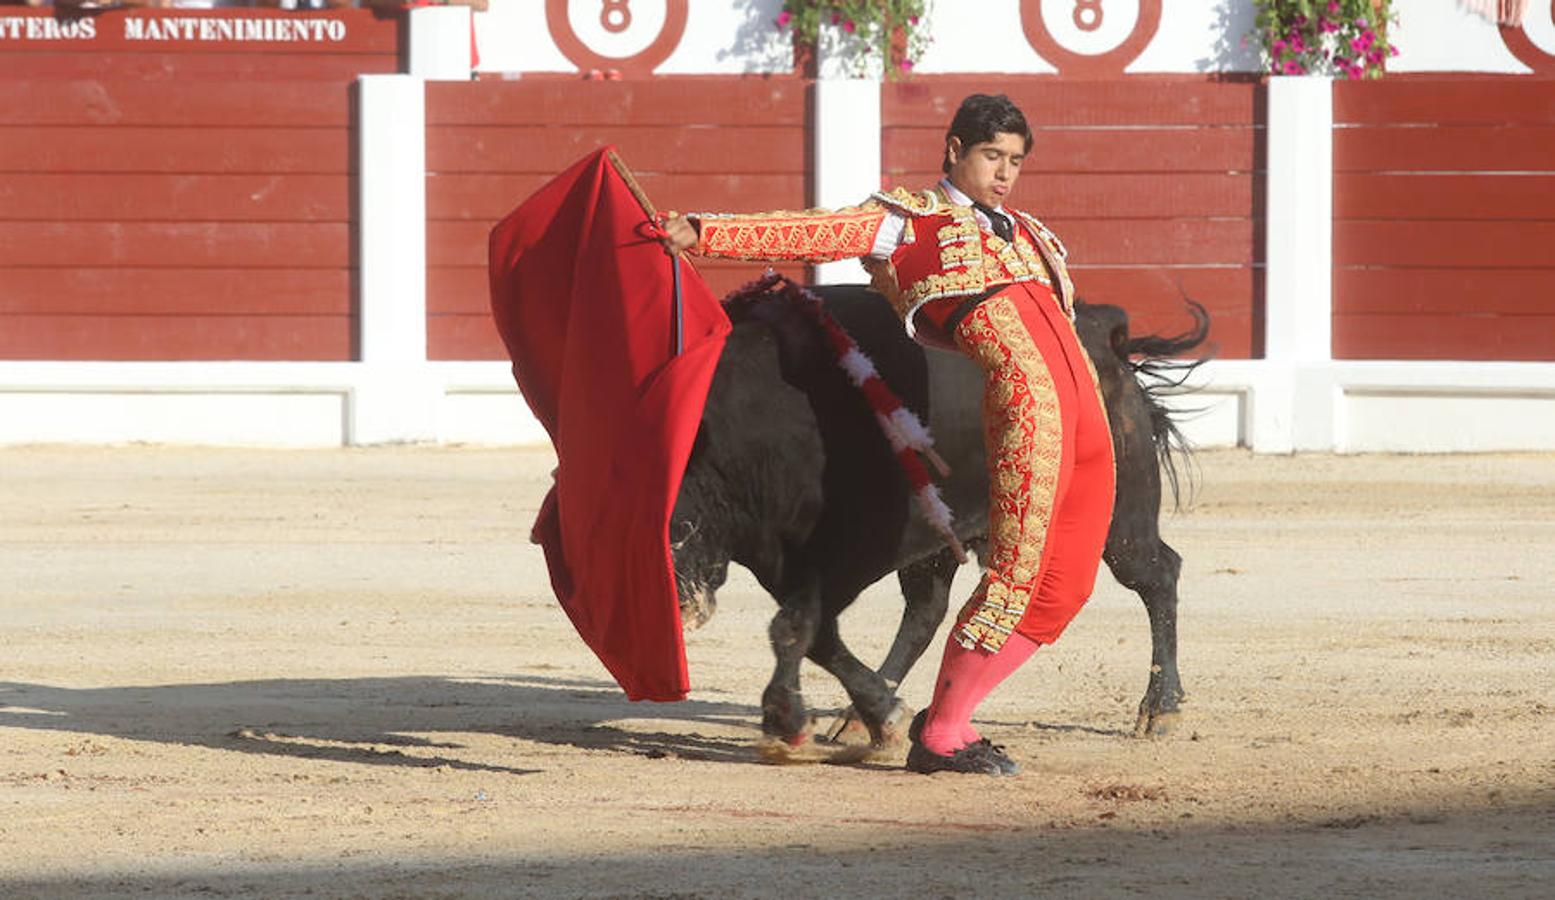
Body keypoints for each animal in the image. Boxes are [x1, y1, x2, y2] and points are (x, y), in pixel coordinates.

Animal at [665, 289, 1200, 752]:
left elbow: (797, 627)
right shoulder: (783, 560)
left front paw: (788, 719)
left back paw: (1162, 709)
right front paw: (875, 715)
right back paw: (861, 717)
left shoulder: (841, 558)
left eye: (674, 519)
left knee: (1158, 573)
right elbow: (816, 635)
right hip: (941, 539)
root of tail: (1098, 331)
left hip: (1120, 520)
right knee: (926, 613)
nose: (675, 603)